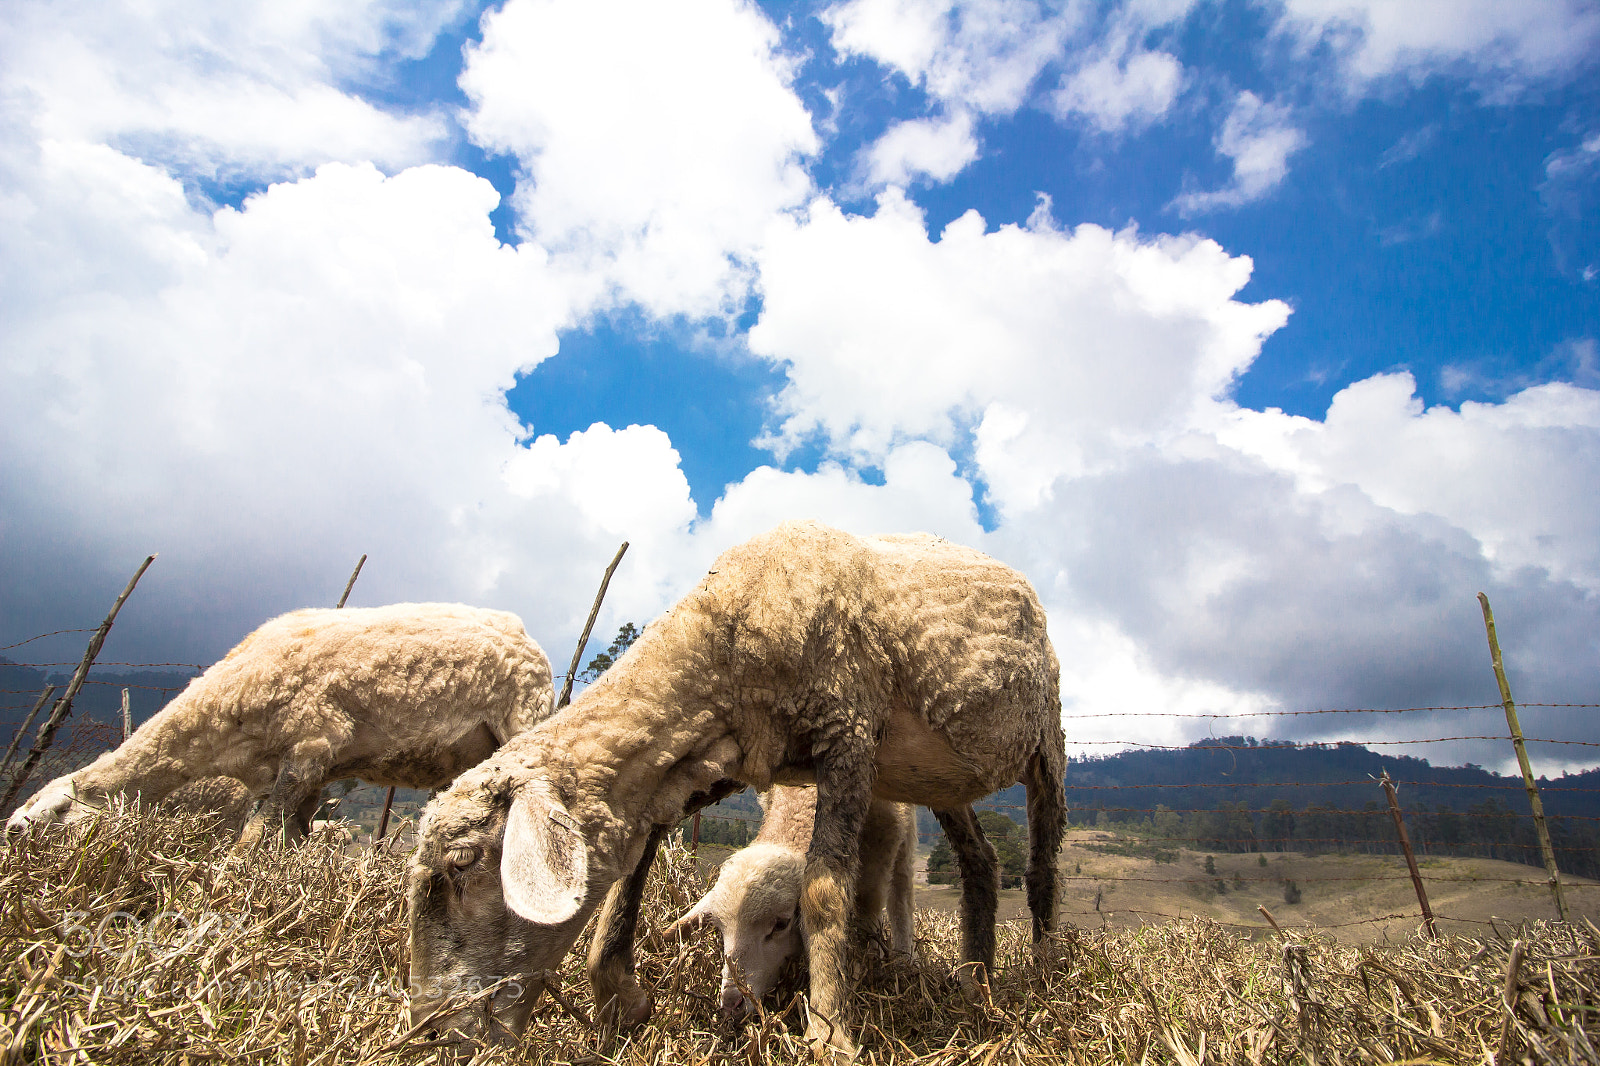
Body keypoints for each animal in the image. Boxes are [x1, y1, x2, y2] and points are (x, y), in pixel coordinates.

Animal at [7, 603, 555, 848]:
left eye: (56, 809)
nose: (10, 832)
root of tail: (525, 632)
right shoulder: (294, 775)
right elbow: (289, 838)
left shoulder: (310, 743)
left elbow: (253, 839)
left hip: (521, 718)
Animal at [670, 786, 916, 1019]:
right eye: (720, 928)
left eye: (781, 924)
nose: (732, 1003)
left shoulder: (886, 829)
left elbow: (870, 904)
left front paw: (867, 962)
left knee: (901, 891)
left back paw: (905, 958)